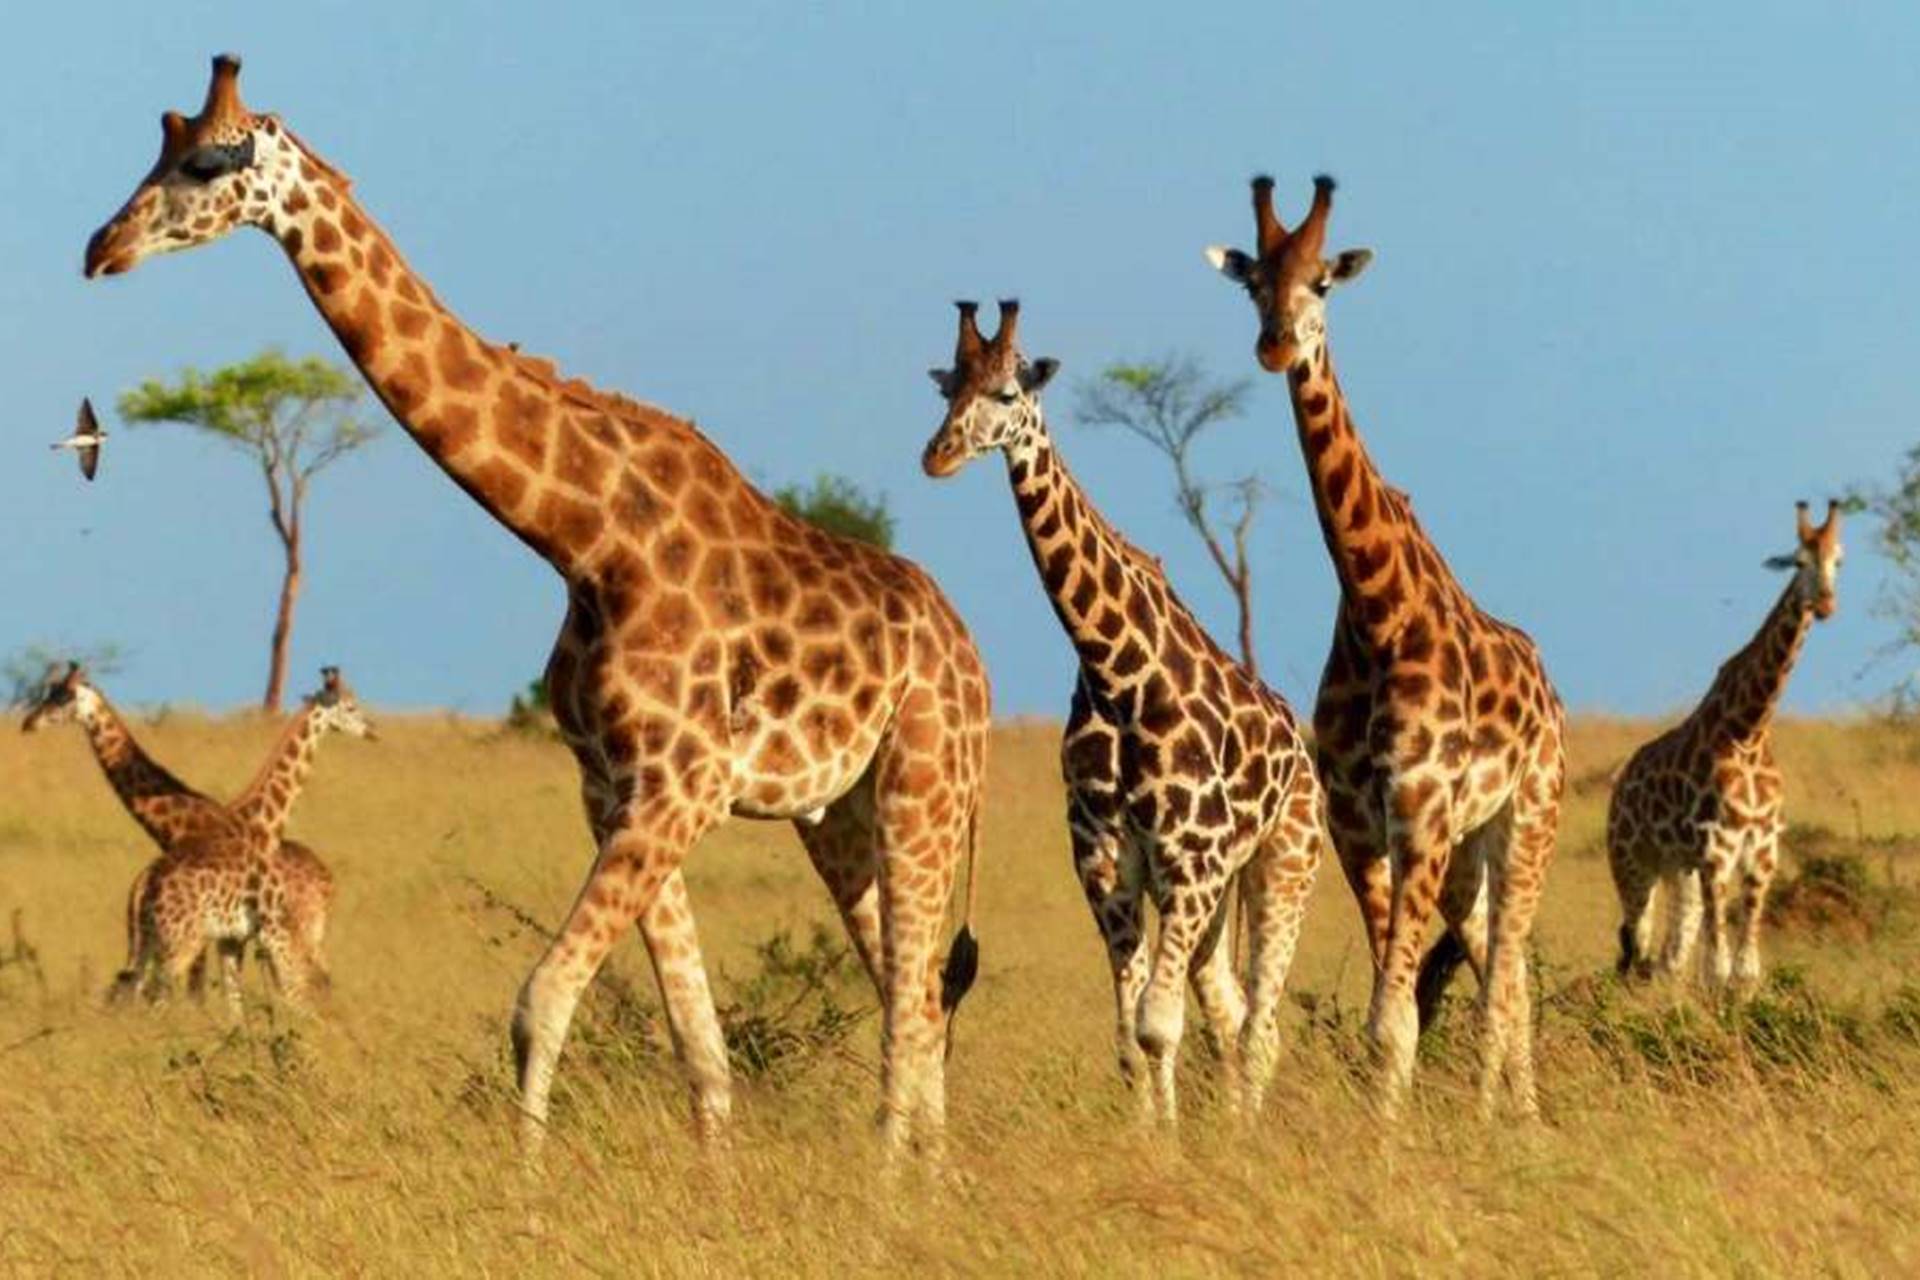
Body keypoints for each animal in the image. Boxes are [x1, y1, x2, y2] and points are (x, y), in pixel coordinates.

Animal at [20, 662, 345, 1006]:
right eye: (49, 691)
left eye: (64, 696)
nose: (28, 722)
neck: (179, 820)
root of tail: (327, 875)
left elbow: (199, 988)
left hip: (294, 930)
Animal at [85, 54, 991, 1154]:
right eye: (159, 150)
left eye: (208, 161)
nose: (101, 248)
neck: (585, 538)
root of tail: (972, 653)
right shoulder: (613, 790)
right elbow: (700, 1045)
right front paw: (710, 1181)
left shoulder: (681, 784)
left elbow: (543, 996)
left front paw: (525, 1180)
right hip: (839, 812)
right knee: (918, 995)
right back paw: (927, 1174)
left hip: (924, 785)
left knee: (913, 1001)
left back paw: (892, 1182)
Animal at [922, 300, 1322, 1121]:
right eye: (947, 391)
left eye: (1006, 393)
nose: (938, 456)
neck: (1121, 677)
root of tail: (1301, 752)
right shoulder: (1109, 859)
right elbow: (1132, 1036)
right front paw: (1153, 1137)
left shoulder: (1190, 857)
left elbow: (1156, 1026)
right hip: (1214, 893)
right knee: (1232, 1012)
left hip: (1283, 863)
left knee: (1261, 1026)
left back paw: (1248, 1133)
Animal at [1205, 175, 1567, 1117]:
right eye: (1254, 285)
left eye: (1323, 283)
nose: (1275, 345)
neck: (1378, 608)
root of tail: (1551, 694)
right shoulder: (1359, 824)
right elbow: (1394, 1011)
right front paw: (1390, 1133)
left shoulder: (1420, 812)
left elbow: (1392, 1017)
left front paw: (1390, 1140)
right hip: (1464, 856)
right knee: (1504, 981)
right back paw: (1511, 1117)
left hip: (1526, 820)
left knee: (1505, 979)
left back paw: (1509, 1119)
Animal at [1608, 501, 1843, 994]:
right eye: (1798, 562)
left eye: (1839, 561)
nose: (1827, 605)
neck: (1748, 731)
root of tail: (1619, 784)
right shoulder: (1717, 850)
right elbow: (1717, 969)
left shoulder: (1761, 851)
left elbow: (1743, 970)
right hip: (1633, 862)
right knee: (1634, 948)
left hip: (1679, 870)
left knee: (1667, 958)